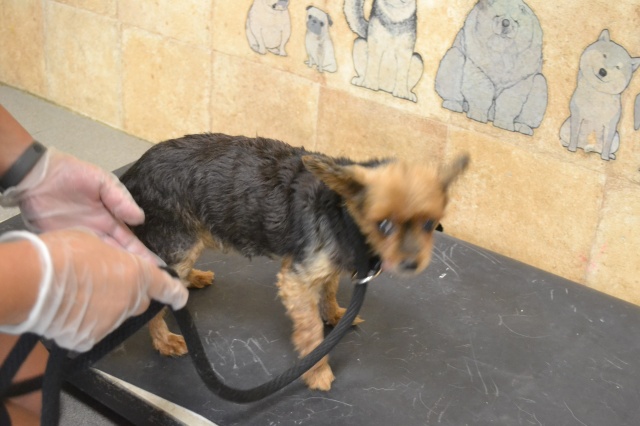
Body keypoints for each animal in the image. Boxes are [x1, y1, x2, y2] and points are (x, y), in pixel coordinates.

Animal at [120, 134, 469, 391]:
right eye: (383, 224)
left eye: (429, 224)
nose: (411, 263)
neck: (341, 210)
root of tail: (131, 173)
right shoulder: (296, 280)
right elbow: (311, 330)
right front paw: (317, 372)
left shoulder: (329, 264)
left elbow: (330, 288)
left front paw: (335, 314)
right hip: (177, 240)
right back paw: (164, 340)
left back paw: (192, 279)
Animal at [435, 0, 547, 135]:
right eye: (497, 15)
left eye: (515, 20)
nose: (506, 22)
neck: (502, 52)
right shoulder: (478, 65)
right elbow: (480, 91)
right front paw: (477, 115)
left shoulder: (520, 78)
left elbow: (510, 101)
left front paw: (504, 124)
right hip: (454, 56)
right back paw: (454, 105)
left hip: (540, 84)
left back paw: (523, 127)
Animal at [560, 30, 640, 160]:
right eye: (604, 55)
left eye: (617, 67)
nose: (603, 71)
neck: (598, 93)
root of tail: (584, 146)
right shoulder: (577, 116)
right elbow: (574, 135)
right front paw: (571, 149)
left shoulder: (610, 125)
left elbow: (606, 145)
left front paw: (605, 158)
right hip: (565, 126)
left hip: (616, 138)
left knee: (599, 148)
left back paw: (609, 155)